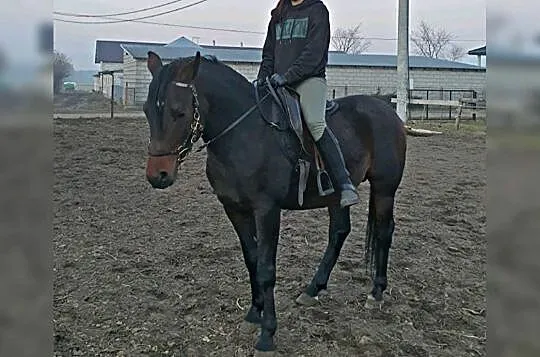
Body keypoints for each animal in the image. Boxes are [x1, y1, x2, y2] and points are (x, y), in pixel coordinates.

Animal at [141, 50, 412, 354]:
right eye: (147, 110)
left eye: (179, 112)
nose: (158, 175)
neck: (244, 135)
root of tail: (386, 110)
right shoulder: (235, 210)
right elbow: (252, 260)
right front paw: (253, 314)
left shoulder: (267, 211)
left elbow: (266, 268)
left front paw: (267, 334)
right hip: (336, 196)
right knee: (339, 232)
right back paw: (313, 289)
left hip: (385, 189)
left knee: (384, 232)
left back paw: (376, 292)